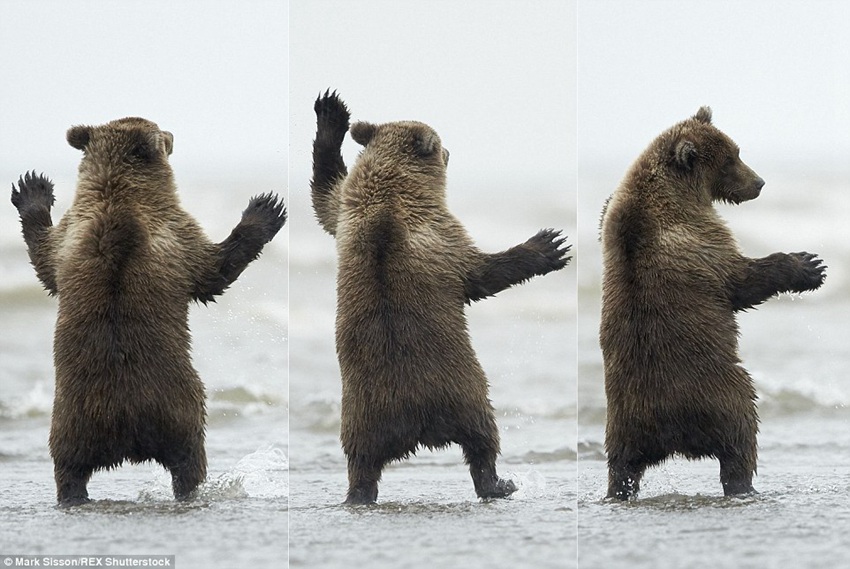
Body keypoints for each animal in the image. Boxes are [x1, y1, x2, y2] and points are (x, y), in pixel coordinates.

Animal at [10, 116, 284, 506]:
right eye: (162, 131)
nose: (172, 135)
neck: (117, 196)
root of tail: (124, 426)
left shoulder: (71, 237)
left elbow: (45, 261)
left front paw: (31, 188)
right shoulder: (176, 234)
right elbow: (212, 271)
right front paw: (265, 208)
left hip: (71, 417)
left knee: (68, 464)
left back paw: (73, 495)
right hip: (179, 403)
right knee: (189, 455)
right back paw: (190, 489)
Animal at [308, 91, 568, 504]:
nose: (449, 150)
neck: (392, 191)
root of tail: (415, 425)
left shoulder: (348, 215)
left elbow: (325, 195)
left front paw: (331, 111)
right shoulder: (442, 235)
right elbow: (481, 275)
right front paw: (549, 245)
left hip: (361, 411)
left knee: (360, 459)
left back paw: (357, 493)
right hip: (462, 388)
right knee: (482, 438)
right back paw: (500, 484)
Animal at [600, 105, 824, 496]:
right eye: (731, 158)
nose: (759, 183)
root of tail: (668, 431)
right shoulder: (698, 238)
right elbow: (741, 280)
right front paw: (809, 265)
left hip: (623, 421)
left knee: (622, 466)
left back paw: (618, 491)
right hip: (721, 393)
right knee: (742, 436)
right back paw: (743, 484)